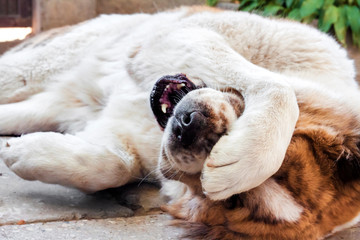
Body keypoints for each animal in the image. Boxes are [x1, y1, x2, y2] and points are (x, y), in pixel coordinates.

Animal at [0, 6, 360, 239]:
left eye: (232, 203)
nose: (190, 126)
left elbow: (113, 166)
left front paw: (24, 152)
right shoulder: (182, 35)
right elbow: (279, 86)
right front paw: (247, 158)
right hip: (38, 67)